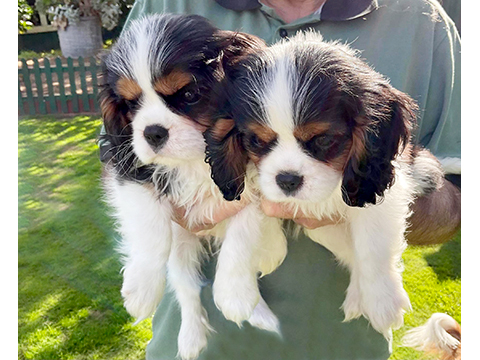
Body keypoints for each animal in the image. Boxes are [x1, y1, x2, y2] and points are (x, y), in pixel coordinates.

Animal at [97, 14, 284, 360]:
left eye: (189, 95)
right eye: (130, 104)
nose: (152, 132)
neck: (198, 158)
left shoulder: (257, 184)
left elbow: (243, 233)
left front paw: (236, 295)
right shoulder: (127, 169)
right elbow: (151, 228)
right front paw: (142, 287)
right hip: (181, 245)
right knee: (186, 286)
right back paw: (191, 336)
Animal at [205, 31, 446, 340]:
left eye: (322, 140)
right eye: (256, 140)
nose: (287, 179)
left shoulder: (380, 191)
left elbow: (373, 244)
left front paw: (382, 301)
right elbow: (241, 225)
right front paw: (235, 290)